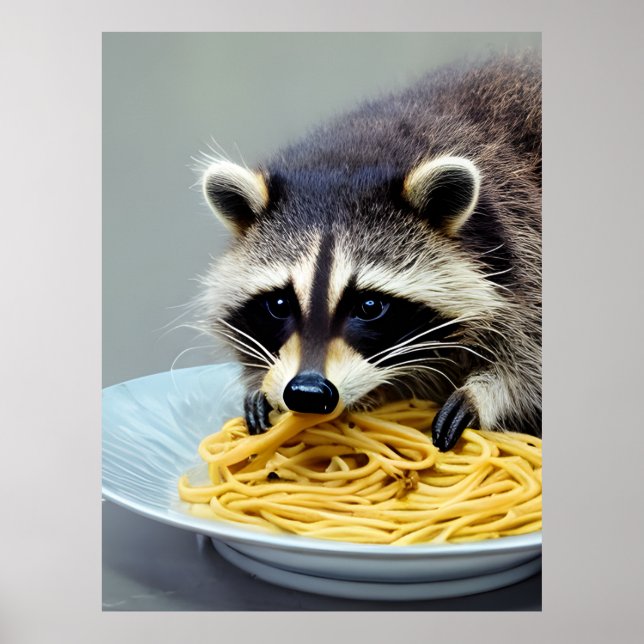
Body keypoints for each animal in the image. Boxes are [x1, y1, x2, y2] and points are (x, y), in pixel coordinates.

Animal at [198, 52, 541, 452]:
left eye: (370, 306)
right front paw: (260, 386)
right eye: (279, 304)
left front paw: (486, 392)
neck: (353, 156)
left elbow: (529, 359)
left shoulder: (524, 239)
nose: (307, 392)